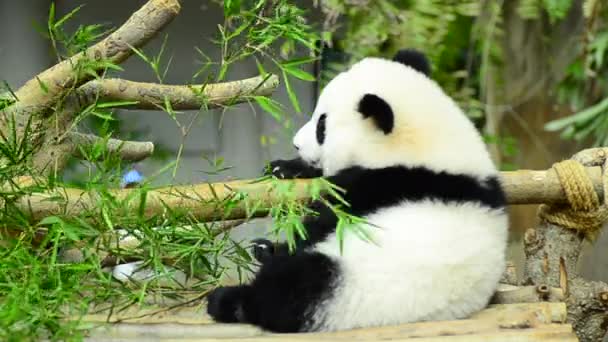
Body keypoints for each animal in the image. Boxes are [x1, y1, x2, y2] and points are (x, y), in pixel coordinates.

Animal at [207, 49, 510, 332]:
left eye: (322, 126)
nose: (296, 144)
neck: (426, 144)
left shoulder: (382, 183)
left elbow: (324, 220)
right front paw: (283, 168)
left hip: (348, 285)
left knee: (292, 290)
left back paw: (228, 300)